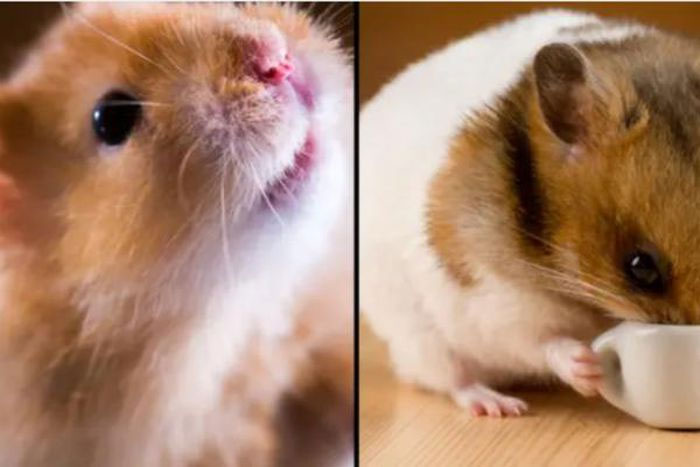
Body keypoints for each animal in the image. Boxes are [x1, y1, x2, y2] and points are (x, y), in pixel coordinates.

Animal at [361, 9, 699, 416]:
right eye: (641, 267)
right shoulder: (495, 297)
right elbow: (541, 341)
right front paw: (588, 368)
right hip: (422, 340)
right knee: (450, 379)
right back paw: (498, 406)